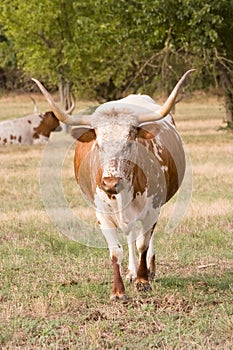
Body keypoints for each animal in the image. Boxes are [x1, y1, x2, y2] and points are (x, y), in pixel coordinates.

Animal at [31, 69, 194, 300]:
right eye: (98, 143)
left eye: (130, 141)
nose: (110, 182)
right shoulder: (102, 213)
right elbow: (116, 250)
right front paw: (118, 291)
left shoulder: (153, 209)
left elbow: (143, 243)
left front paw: (143, 280)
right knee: (130, 234)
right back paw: (131, 272)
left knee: (145, 236)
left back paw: (149, 270)